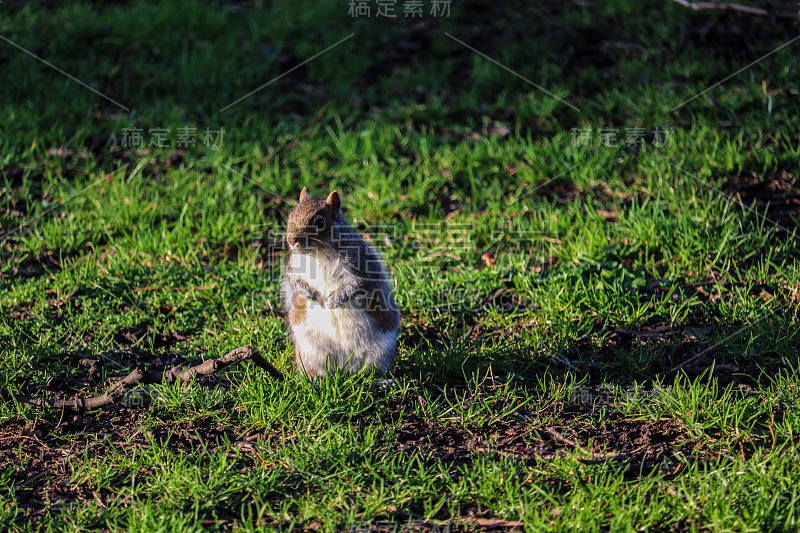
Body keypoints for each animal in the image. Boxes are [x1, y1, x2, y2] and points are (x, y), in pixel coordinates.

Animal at [282, 189, 406, 376]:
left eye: (320, 222)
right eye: (291, 215)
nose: (292, 240)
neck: (319, 253)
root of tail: (344, 366)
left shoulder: (362, 267)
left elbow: (358, 287)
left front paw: (333, 301)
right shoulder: (293, 267)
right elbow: (294, 281)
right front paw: (311, 295)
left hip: (380, 352)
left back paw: (378, 379)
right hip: (309, 353)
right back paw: (313, 379)